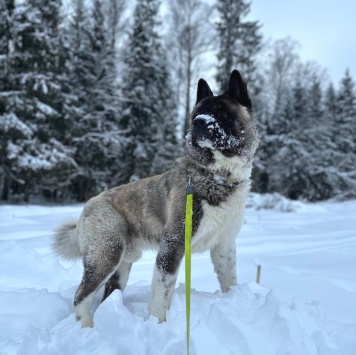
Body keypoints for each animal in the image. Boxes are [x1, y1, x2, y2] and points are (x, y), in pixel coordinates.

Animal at [52, 69, 258, 328]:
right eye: (196, 115)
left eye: (222, 112)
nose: (199, 122)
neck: (218, 176)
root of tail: (88, 206)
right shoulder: (173, 244)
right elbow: (162, 292)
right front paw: (158, 323)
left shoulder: (224, 245)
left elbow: (229, 280)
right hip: (106, 255)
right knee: (80, 296)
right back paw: (87, 327)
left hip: (121, 266)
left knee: (107, 295)